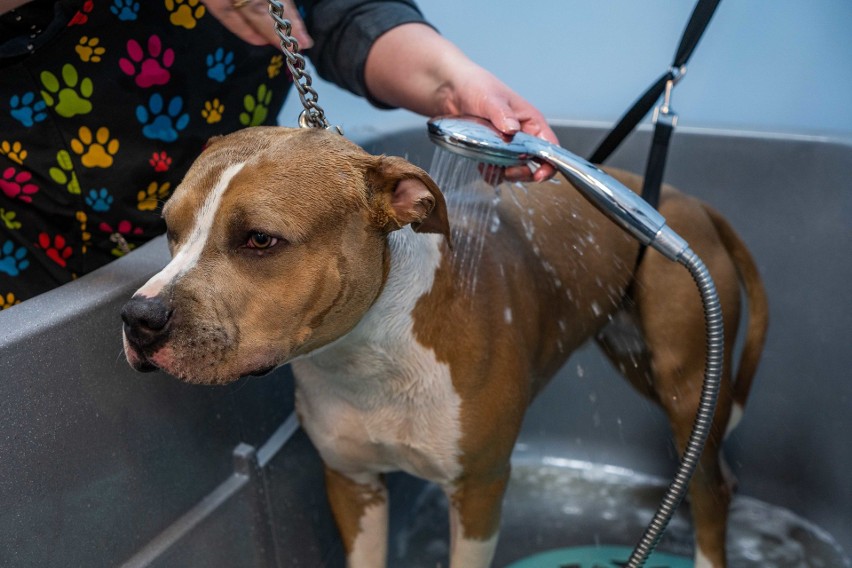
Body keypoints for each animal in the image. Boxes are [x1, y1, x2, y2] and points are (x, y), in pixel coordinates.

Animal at [123, 126, 768, 564]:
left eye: (260, 240)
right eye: (169, 228)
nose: (138, 317)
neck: (369, 356)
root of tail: (685, 203)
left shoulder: (479, 490)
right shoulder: (352, 484)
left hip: (687, 382)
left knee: (710, 489)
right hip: (635, 354)